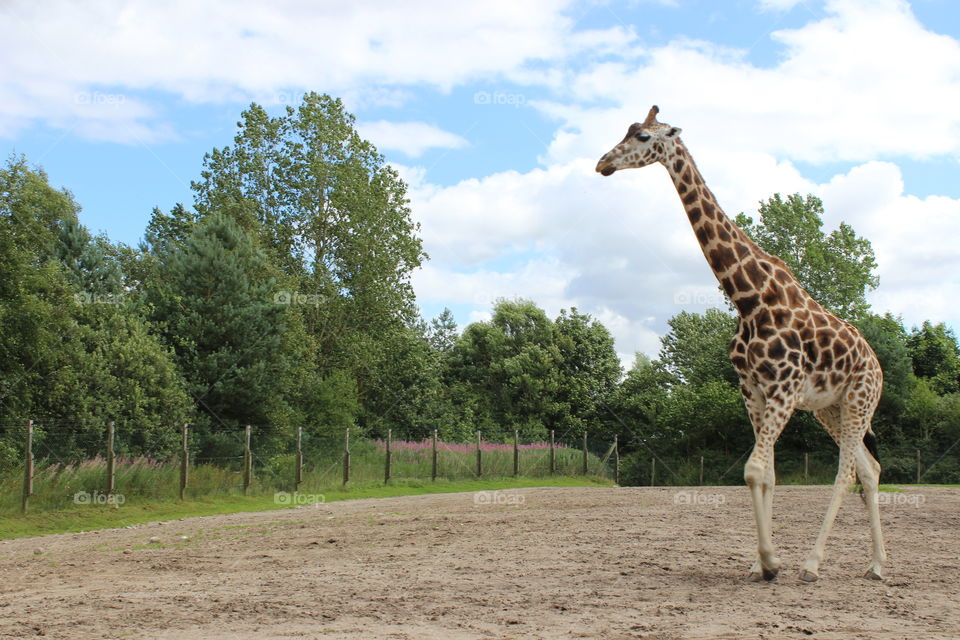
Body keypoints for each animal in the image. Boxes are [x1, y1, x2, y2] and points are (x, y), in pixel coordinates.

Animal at [595, 106, 886, 582]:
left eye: (642, 137)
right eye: (626, 130)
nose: (603, 163)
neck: (748, 298)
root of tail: (877, 365)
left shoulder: (784, 388)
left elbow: (754, 469)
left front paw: (772, 562)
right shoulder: (753, 390)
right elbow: (765, 474)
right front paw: (759, 563)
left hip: (860, 399)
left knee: (847, 473)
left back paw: (813, 564)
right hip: (832, 408)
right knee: (870, 468)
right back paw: (877, 565)